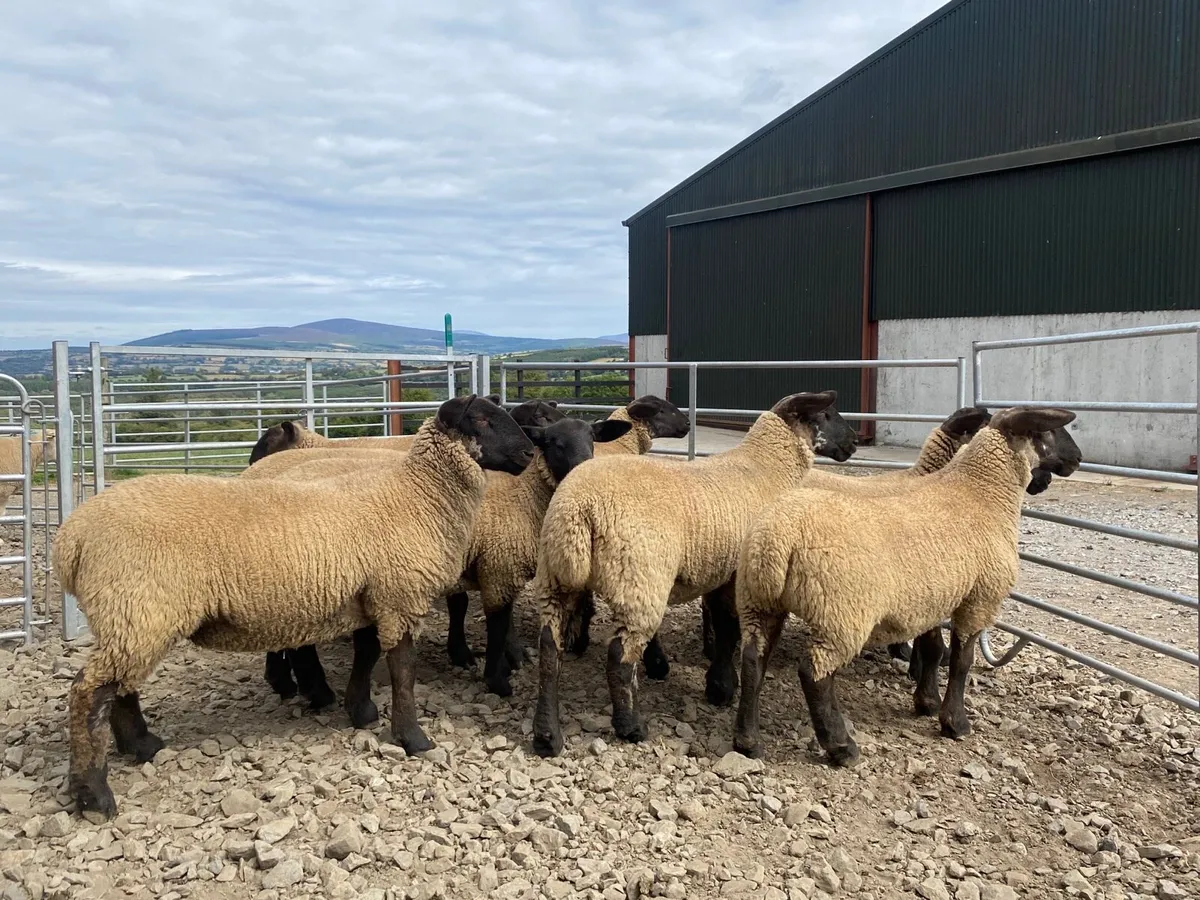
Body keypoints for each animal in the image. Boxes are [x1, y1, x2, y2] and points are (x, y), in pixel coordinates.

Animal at [53, 394, 536, 819]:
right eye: (483, 420)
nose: (530, 452)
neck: (416, 495)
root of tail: (71, 539)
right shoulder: (400, 595)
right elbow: (403, 671)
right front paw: (413, 739)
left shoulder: (370, 594)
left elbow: (366, 655)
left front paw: (360, 711)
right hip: (139, 606)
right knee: (89, 692)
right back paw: (94, 793)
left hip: (131, 614)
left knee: (117, 686)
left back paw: (141, 746)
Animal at [528, 390, 858, 757]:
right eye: (826, 414)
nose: (854, 442)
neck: (765, 469)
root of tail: (577, 509)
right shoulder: (740, 576)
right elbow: (729, 628)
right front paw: (723, 687)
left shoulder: (723, 570)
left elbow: (722, 623)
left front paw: (718, 682)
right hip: (638, 577)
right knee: (619, 657)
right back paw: (631, 726)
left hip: (556, 578)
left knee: (549, 650)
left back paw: (547, 735)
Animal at [730, 406, 1078, 766]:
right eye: (1049, 431)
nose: (1077, 458)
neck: (979, 493)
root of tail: (776, 538)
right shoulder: (980, 599)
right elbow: (961, 661)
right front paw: (954, 722)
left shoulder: (932, 597)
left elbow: (934, 649)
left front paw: (926, 701)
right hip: (841, 613)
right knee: (814, 674)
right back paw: (841, 746)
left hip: (759, 600)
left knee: (754, 660)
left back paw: (748, 741)